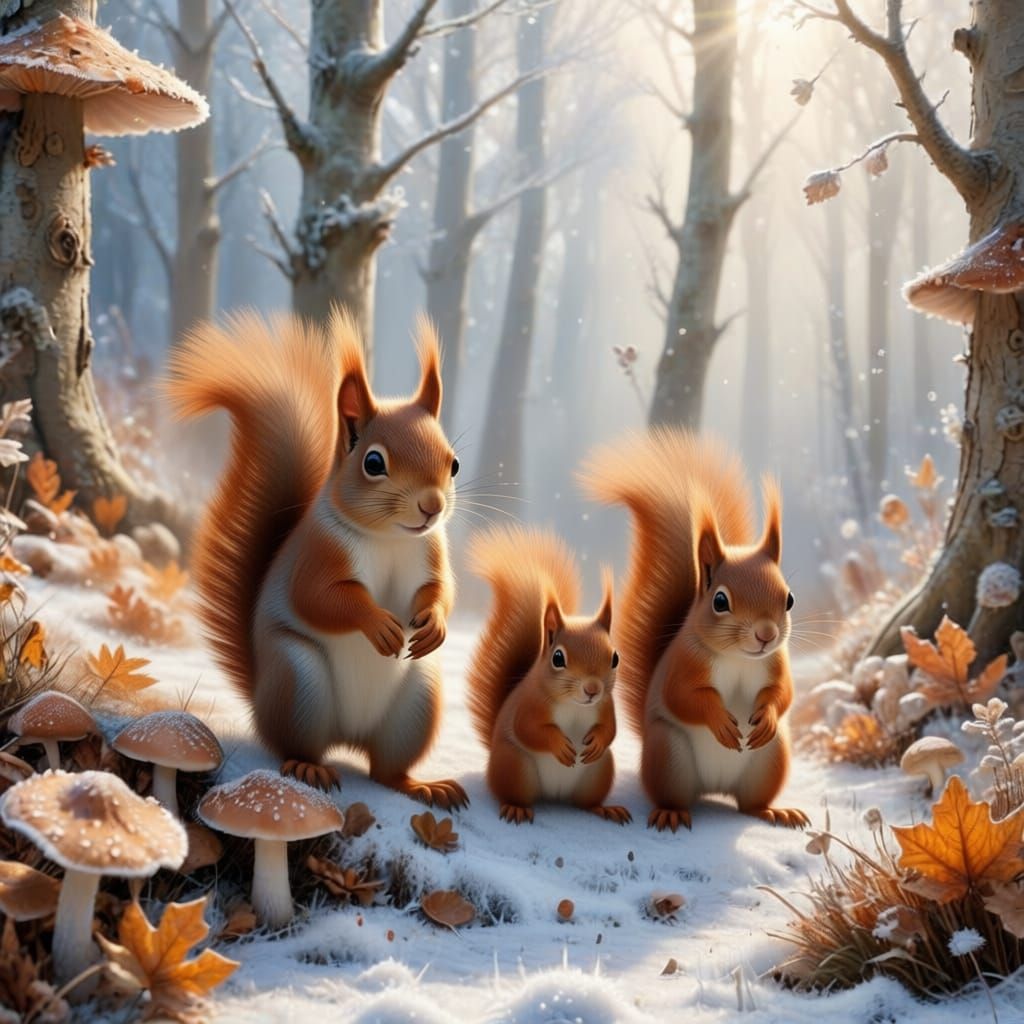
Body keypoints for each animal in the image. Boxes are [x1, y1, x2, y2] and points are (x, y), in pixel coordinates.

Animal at [166, 309, 467, 808]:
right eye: (373, 463)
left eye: (454, 463)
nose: (431, 506)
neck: (389, 538)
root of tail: (349, 737)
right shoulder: (317, 553)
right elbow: (319, 598)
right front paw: (378, 624)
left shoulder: (432, 551)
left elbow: (440, 590)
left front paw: (435, 624)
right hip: (298, 680)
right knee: (294, 745)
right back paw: (309, 768)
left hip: (417, 700)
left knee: (387, 770)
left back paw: (420, 785)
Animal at [467, 525, 630, 825]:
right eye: (558, 658)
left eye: (615, 658)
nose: (592, 689)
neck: (575, 705)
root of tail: (555, 795)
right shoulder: (530, 703)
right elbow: (527, 729)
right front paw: (559, 745)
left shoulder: (606, 705)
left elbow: (610, 729)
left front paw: (598, 740)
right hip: (514, 765)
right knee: (513, 793)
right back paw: (516, 808)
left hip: (599, 771)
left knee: (585, 802)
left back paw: (604, 810)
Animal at [581, 429, 807, 833]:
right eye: (720, 601)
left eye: (789, 599)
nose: (765, 634)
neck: (739, 658)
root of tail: (714, 789)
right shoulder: (684, 665)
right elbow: (684, 697)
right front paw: (720, 721)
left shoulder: (776, 663)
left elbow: (783, 693)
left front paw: (765, 716)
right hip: (669, 754)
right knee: (674, 795)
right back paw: (672, 813)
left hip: (771, 759)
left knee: (751, 804)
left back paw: (773, 812)